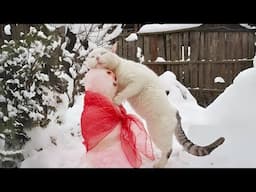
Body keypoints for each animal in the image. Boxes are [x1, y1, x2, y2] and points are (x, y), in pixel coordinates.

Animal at [85, 45, 224, 168]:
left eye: (103, 53)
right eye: (92, 56)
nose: (97, 58)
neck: (117, 70)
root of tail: (176, 112)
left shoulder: (137, 82)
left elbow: (126, 91)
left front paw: (116, 99)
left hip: (157, 133)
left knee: (168, 149)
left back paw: (159, 164)